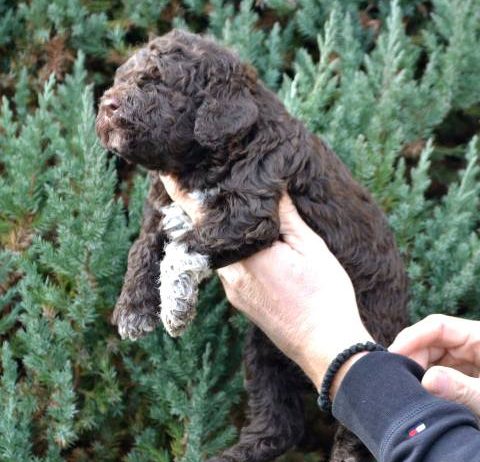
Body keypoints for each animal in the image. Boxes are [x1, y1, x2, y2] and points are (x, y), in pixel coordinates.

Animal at [94, 29, 408, 462]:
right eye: (123, 77)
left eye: (156, 82)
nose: (106, 104)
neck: (200, 163)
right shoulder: (162, 206)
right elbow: (141, 248)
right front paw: (133, 310)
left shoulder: (250, 213)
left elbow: (182, 249)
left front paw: (175, 306)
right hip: (263, 354)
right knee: (280, 424)